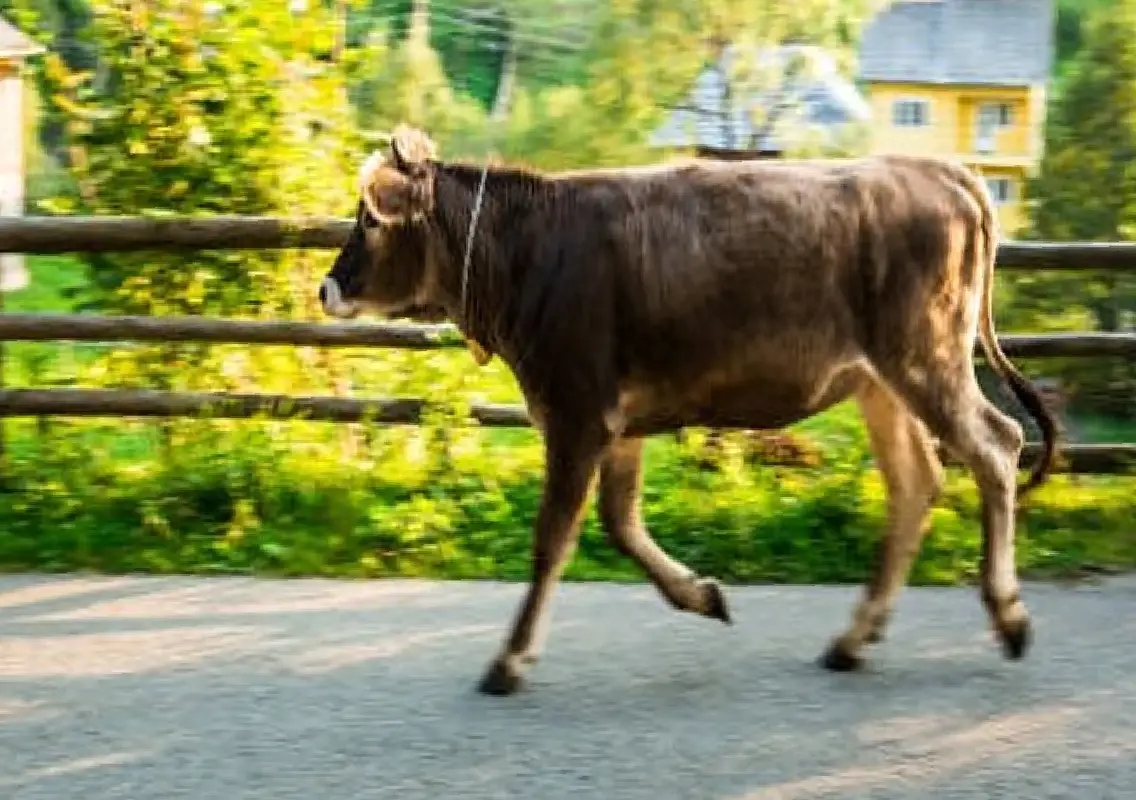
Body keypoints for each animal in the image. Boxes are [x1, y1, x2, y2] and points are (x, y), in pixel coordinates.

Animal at [319, 124, 1059, 697]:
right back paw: (854, 637)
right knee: (916, 483)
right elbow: (619, 523)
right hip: (882, 382)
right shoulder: (615, 421)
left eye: (367, 220)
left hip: (925, 358)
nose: (327, 287)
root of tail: (937, 170)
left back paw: (1010, 616)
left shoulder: (576, 411)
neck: (531, 254)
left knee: (997, 444)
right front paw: (701, 594)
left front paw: (509, 659)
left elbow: (552, 538)